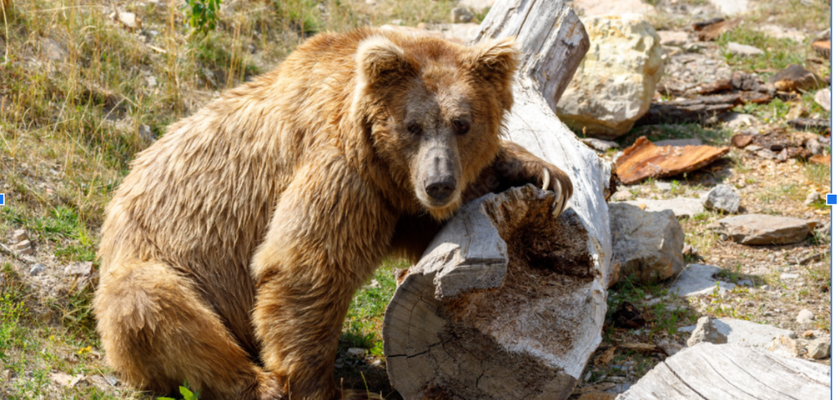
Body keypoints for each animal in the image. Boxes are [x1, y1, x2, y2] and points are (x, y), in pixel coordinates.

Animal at [95, 28, 576, 400]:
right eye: (413, 125)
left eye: (463, 122)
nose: (438, 183)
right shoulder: (341, 170)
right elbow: (307, 267)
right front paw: (329, 388)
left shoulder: (393, 198)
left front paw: (544, 173)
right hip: (156, 268)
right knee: (158, 309)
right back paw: (260, 384)